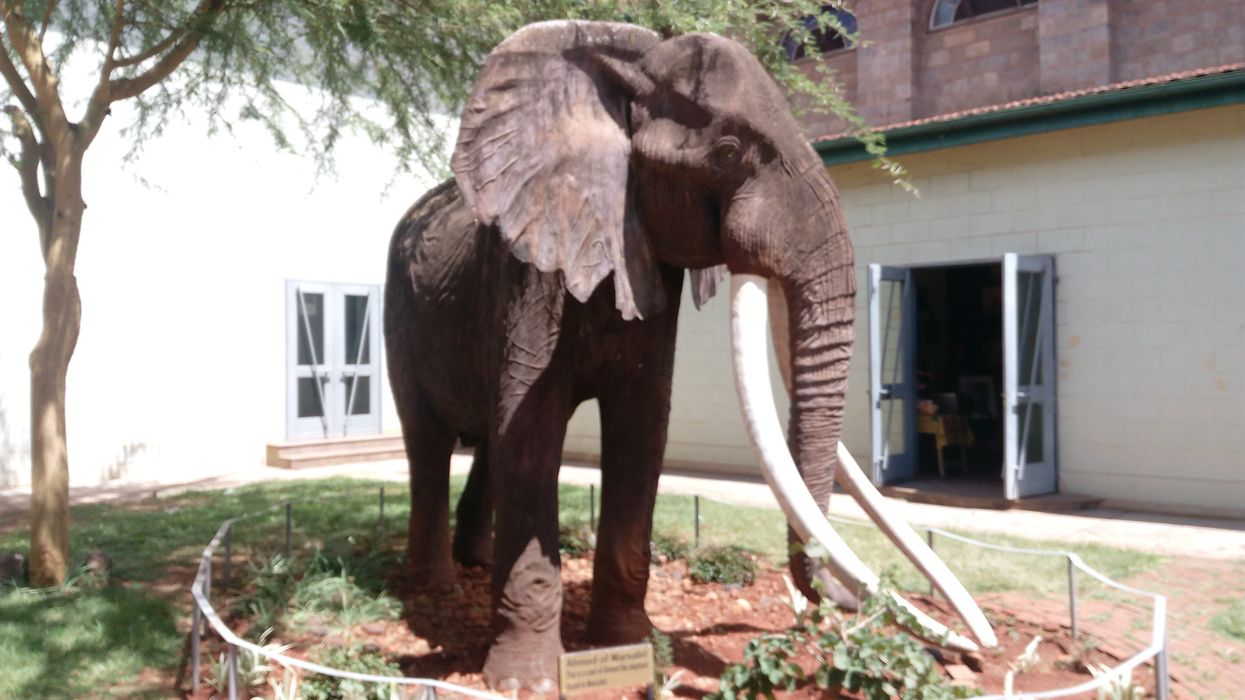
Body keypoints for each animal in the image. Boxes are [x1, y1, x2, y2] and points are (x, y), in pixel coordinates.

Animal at [384, 20, 995, 691]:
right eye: (726, 152)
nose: (969, 657)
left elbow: (643, 428)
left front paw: (630, 646)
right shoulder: (531, 273)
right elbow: (532, 431)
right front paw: (527, 682)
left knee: (487, 445)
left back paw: (474, 562)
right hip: (400, 312)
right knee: (430, 444)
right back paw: (435, 586)